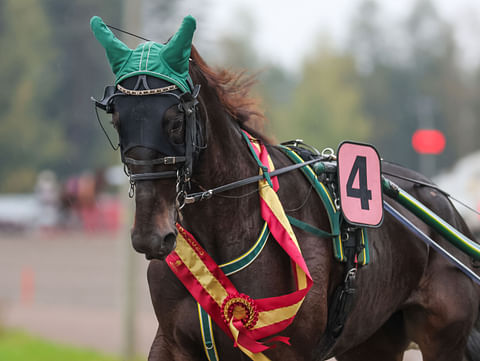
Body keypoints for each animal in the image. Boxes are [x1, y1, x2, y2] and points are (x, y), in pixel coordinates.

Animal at [93, 15, 480, 358]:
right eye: (117, 121)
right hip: (372, 341)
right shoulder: (171, 342)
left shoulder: (288, 350)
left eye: (174, 121)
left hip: (441, 337)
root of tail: (442, 202)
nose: (150, 235)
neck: (228, 230)